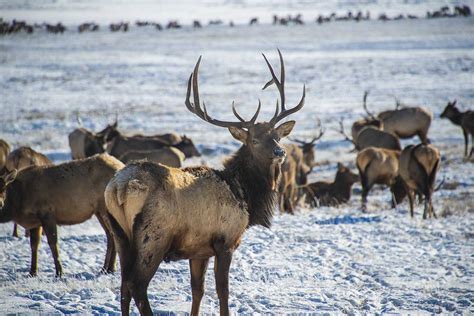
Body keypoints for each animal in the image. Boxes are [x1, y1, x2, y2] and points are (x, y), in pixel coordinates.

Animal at [105, 50, 306, 316]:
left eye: (276, 136)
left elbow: (197, 290)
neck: (245, 195)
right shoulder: (225, 240)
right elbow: (222, 291)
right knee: (137, 285)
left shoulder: (198, 249)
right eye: (253, 139)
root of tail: (119, 188)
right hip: (153, 235)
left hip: (120, 235)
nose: (279, 152)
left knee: (124, 286)